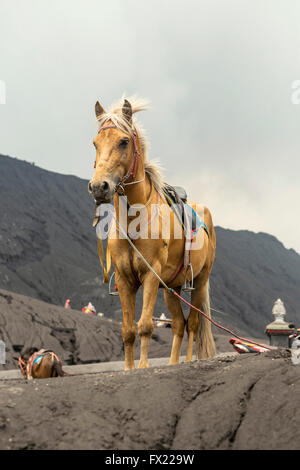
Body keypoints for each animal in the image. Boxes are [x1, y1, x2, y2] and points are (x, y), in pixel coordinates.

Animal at [88, 96, 217, 370]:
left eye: (124, 141)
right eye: (95, 143)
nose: (98, 187)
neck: (133, 221)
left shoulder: (150, 275)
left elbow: (145, 325)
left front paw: (143, 366)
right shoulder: (126, 280)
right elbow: (127, 330)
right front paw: (129, 368)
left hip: (199, 283)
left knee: (192, 324)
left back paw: (186, 361)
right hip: (171, 288)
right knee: (178, 324)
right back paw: (172, 362)